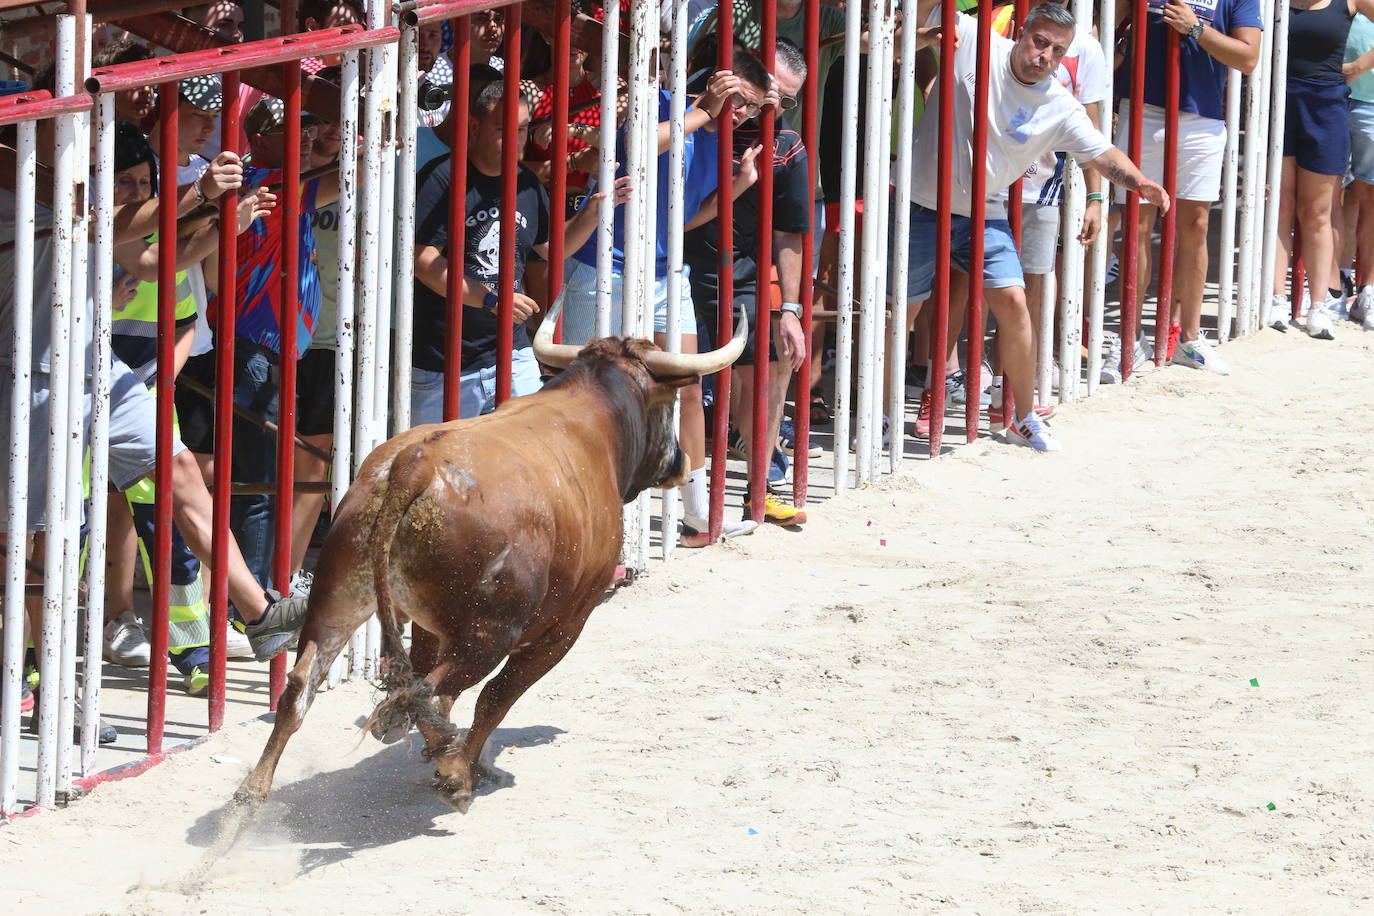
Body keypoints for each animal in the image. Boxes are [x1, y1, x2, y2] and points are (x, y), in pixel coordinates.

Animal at [228, 304, 741, 818]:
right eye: (670, 404)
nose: (682, 462)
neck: (593, 419)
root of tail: (415, 465)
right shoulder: (564, 628)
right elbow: (496, 698)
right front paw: (464, 767)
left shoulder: (431, 626)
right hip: (488, 635)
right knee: (428, 690)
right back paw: (449, 769)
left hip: (340, 596)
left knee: (308, 687)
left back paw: (248, 800)